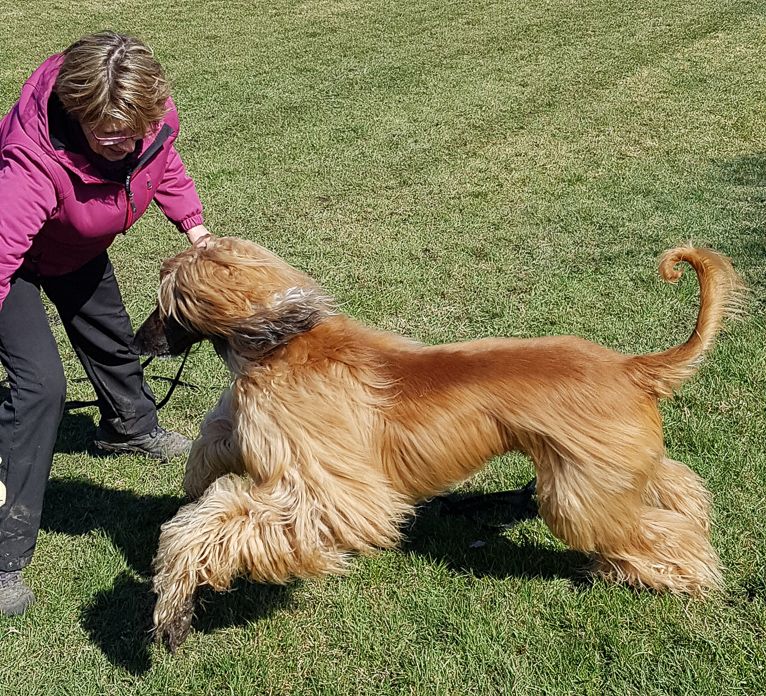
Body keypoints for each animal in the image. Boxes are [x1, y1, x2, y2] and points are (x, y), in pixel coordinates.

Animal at [133, 236, 744, 651]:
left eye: (163, 303)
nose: (138, 340)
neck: (279, 342)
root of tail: (630, 368)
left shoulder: (332, 488)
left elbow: (211, 523)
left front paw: (174, 608)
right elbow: (213, 452)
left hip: (583, 489)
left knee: (661, 531)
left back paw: (684, 577)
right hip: (614, 463)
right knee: (677, 488)